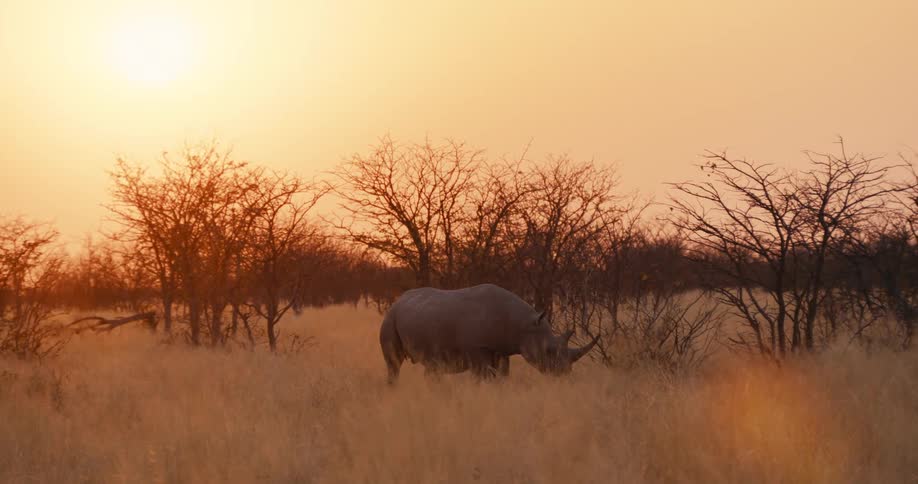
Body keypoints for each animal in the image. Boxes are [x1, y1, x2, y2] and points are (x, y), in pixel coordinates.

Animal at [379, 283, 599, 383]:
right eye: (549, 351)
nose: (564, 375)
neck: (523, 325)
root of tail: (399, 299)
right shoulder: (477, 350)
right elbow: (482, 376)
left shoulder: (501, 350)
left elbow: (502, 376)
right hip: (390, 318)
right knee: (394, 363)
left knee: (433, 366)